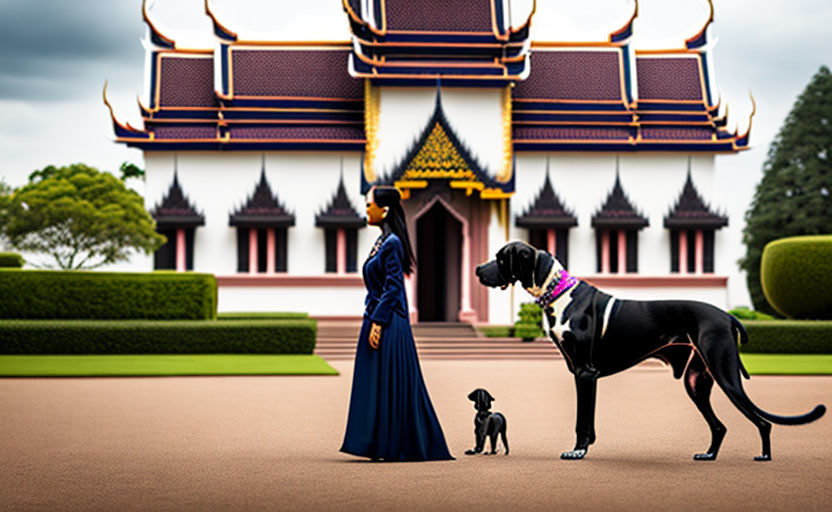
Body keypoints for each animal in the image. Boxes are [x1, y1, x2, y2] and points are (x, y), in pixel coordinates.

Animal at [474, 242, 824, 462]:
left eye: (501, 258)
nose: (477, 269)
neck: (559, 294)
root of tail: (727, 316)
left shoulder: (586, 372)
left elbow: (582, 421)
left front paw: (578, 451)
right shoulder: (580, 373)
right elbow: (585, 418)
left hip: (725, 374)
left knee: (762, 421)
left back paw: (764, 455)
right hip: (696, 382)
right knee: (720, 426)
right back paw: (709, 455)